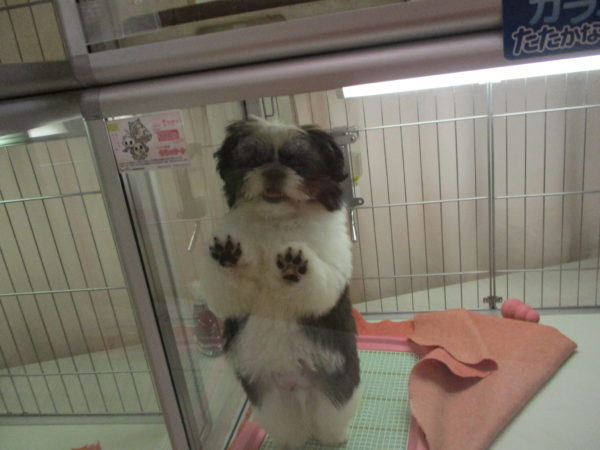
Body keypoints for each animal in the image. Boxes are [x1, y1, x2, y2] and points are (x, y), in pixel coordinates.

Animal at [198, 117, 360, 449]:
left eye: (296, 162)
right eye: (252, 159)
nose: (273, 171)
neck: (277, 221)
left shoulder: (329, 272)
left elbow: (317, 286)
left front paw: (294, 264)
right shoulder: (232, 298)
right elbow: (227, 292)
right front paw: (228, 255)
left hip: (336, 387)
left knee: (331, 416)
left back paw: (333, 438)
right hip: (272, 400)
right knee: (288, 427)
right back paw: (291, 441)